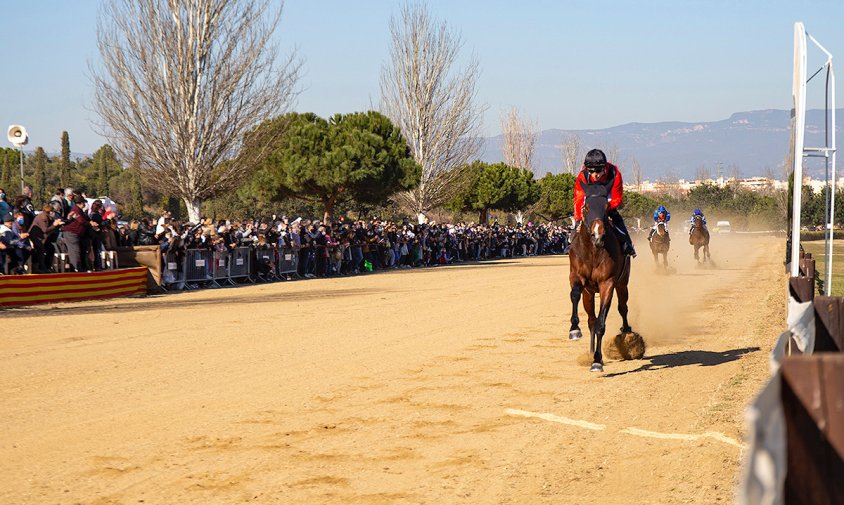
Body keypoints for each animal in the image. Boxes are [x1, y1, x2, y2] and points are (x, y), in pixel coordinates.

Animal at [572, 184, 628, 370]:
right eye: (587, 207)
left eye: (606, 207)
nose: (598, 236)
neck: (593, 252)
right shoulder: (576, 276)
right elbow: (575, 294)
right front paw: (574, 329)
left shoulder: (607, 283)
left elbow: (601, 324)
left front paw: (597, 360)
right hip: (589, 293)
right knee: (591, 319)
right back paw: (589, 351)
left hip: (623, 283)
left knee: (623, 307)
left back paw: (627, 331)